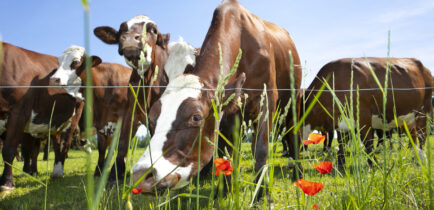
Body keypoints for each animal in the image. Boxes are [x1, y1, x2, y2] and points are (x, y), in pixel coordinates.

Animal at [0, 41, 84, 191]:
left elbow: (9, 149)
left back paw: (58, 171)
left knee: (65, 144)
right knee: (56, 144)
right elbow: (27, 151)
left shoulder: (19, 112)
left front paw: (6, 183)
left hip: (73, 117)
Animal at [132, 0, 302, 199]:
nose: (141, 175)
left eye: (196, 117)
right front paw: (224, 191)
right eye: (152, 120)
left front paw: (261, 194)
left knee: (294, 136)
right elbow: (224, 152)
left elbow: (260, 148)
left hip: (293, 102)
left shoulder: (267, 98)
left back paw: (297, 173)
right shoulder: (226, 113)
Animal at [300, 57, 432, 167]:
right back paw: (416, 158)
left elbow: (367, 142)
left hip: (423, 111)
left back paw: (421, 159)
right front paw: (340, 165)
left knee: (421, 135)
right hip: (406, 118)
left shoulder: (363, 117)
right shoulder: (342, 122)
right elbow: (342, 143)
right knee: (413, 135)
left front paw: (373, 164)